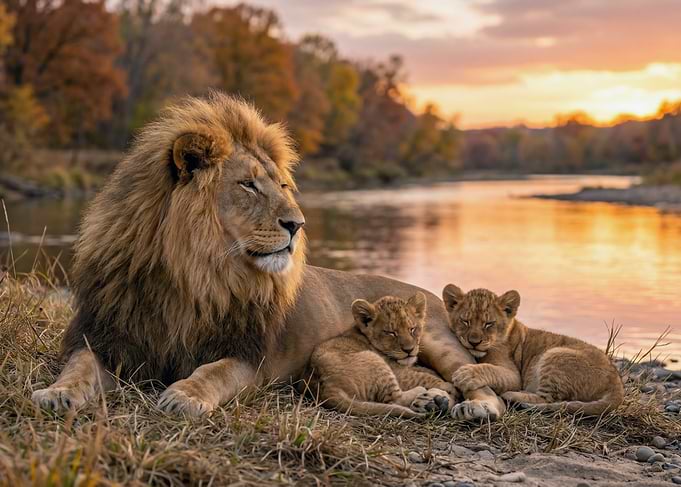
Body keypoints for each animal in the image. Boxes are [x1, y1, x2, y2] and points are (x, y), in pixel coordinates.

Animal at [306, 292, 455, 417]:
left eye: (412, 329)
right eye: (391, 332)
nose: (409, 350)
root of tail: (325, 388)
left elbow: (426, 371)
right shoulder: (400, 373)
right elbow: (425, 377)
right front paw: (449, 387)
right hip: (374, 361)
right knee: (394, 400)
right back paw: (424, 393)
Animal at [443, 284, 624, 415]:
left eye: (489, 324)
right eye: (465, 321)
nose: (474, 342)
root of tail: (616, 382)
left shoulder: (515, 375)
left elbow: (490, 369)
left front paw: (466, 374)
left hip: (554, 355)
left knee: (548, 400)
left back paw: (513, 395)